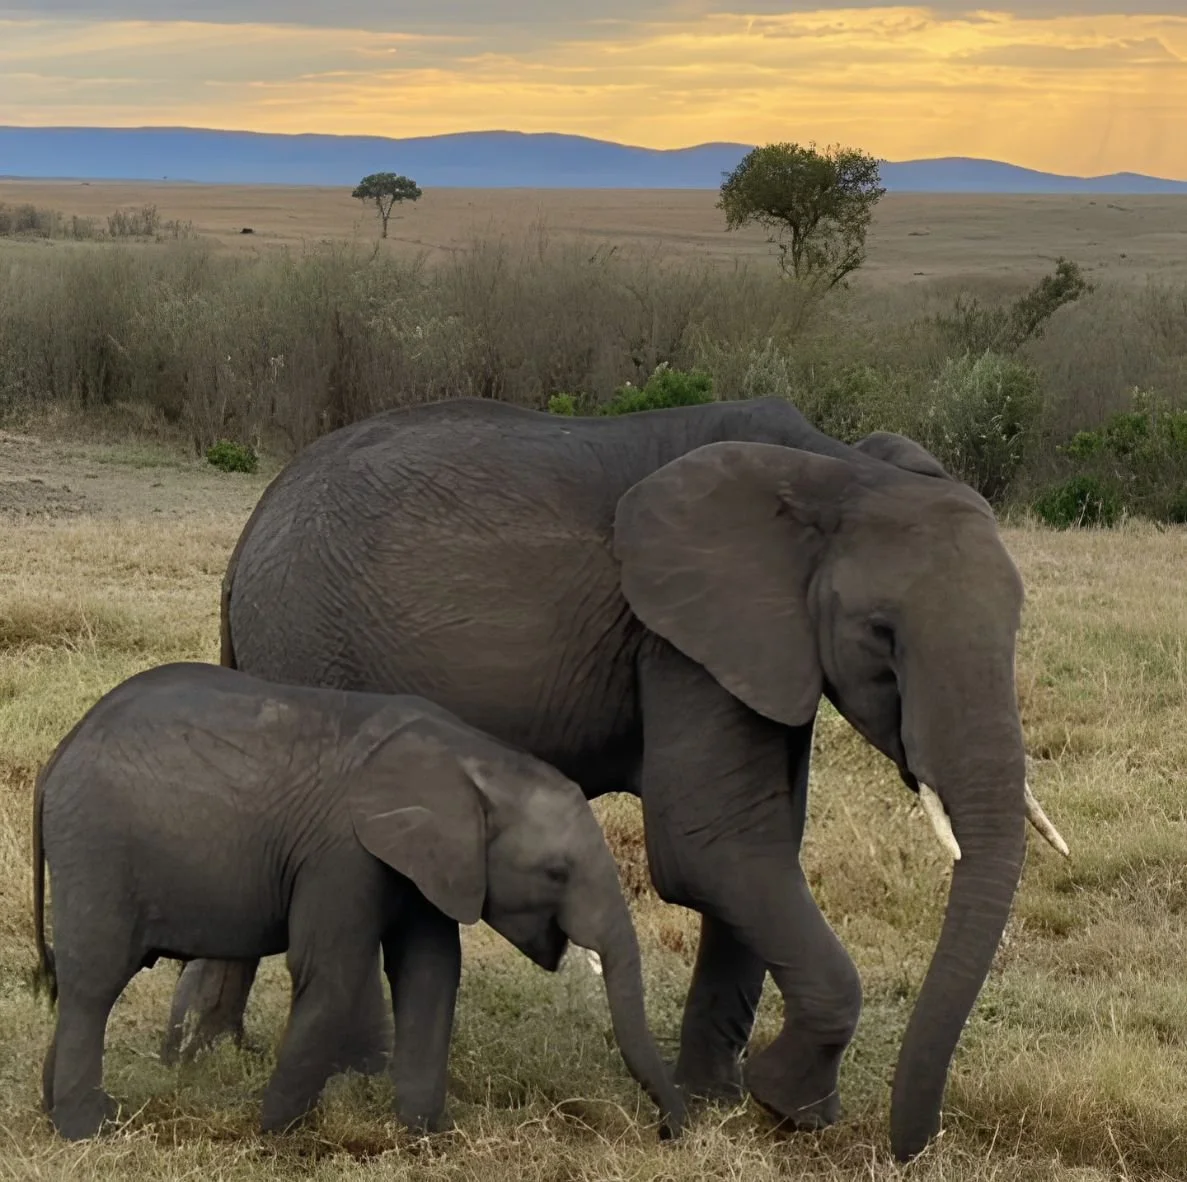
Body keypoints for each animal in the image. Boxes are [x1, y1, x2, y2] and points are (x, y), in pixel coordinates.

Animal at [31, 661, 685, 1142]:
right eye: (555, 872)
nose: (669, 1131)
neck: (476, 761)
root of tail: (58, 755)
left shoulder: (428, 864)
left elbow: (431, 972)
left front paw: (428, 1136)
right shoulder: (341, 853)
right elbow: (332, 975)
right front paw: (275, 1136)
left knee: (82, 984)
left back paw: (58, 1112)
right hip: (96, 847)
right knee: (94, 984)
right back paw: (90, 1129)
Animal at [167, 395, 1068, 1162]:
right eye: (880, 636)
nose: (908, 1147)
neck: (837, 469)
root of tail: (248, 537)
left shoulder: (755, 649)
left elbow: (762, 842)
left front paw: (718, 1103)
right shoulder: (676, 638)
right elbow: (710, 843)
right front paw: (789, 1107)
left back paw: (202, 1054)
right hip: (311, 645)